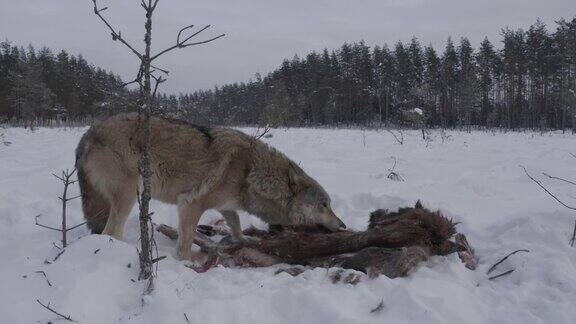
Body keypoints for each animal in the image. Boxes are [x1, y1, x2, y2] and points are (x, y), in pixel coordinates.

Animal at [76, 112, 346, 262]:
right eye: (324, 205)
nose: (343, 225)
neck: (251, 173)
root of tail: (88, 134)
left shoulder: (226, 206)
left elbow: (236, 224)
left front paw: (244, 240)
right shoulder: (190, 204)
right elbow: (185, 243)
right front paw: (190, 261)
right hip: (129, 195)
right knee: (111, 232)